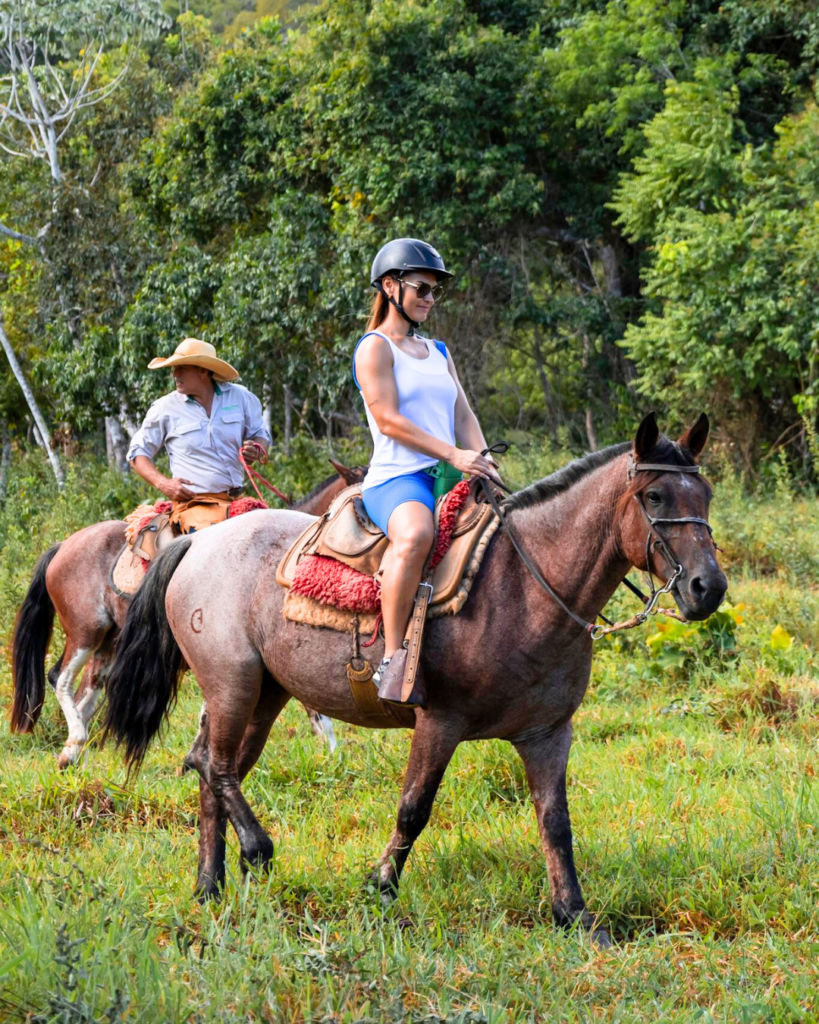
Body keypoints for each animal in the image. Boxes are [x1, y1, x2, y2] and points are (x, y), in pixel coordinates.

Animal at [11, 460, 362, 765]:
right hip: (86, 630)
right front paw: (334, 755)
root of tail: (64, 545)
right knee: (60, 678)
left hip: (110, 640)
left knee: (86, 695)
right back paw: (76, 742)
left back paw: (72, 756)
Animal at [103, 415, 728, 942]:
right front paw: (381, 886)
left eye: (705, 496)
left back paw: (208, 887)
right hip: (232, 684)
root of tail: (197, 542)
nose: (708, 587)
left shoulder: (548, 733)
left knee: (212, 767)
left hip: (262, 695)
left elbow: (556, 822)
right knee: (213, 765)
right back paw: (256, 849)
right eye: (654, 496)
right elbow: (414, 808)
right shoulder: (439, 722)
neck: (525, 586)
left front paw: (574, 915)